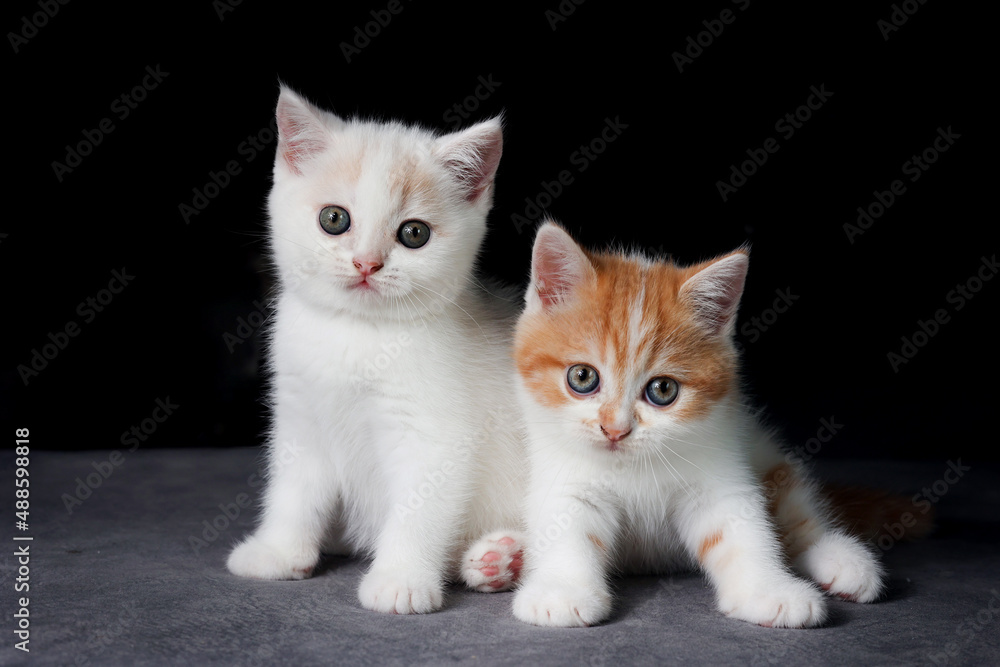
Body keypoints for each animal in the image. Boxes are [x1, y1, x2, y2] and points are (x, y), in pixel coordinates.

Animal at [508, 222, 884, 628]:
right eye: (582, 377)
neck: (631, 467)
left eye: (663, 390)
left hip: (764, 453)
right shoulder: (564, 475)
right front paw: (561, 591)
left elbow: (740, 528)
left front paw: (769, 591)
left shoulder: (718, 467)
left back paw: (842, 559)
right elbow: (565, 527)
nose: (616, 430)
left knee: (797, 508)